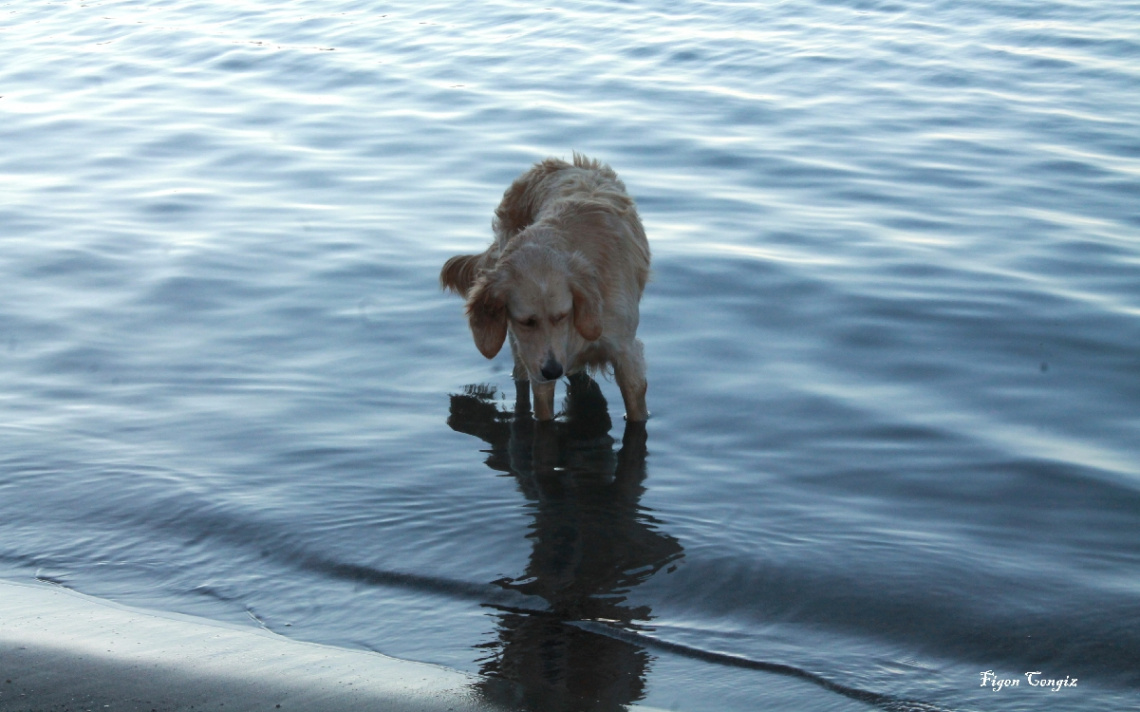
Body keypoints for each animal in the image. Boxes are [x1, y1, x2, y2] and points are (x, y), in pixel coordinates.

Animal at [440, 153, 652, 421]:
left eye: (561, 315)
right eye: (526, 322)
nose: (552, 370)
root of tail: (557, 162)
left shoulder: (627, 355)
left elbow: (636, 410)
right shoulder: (537, 364)